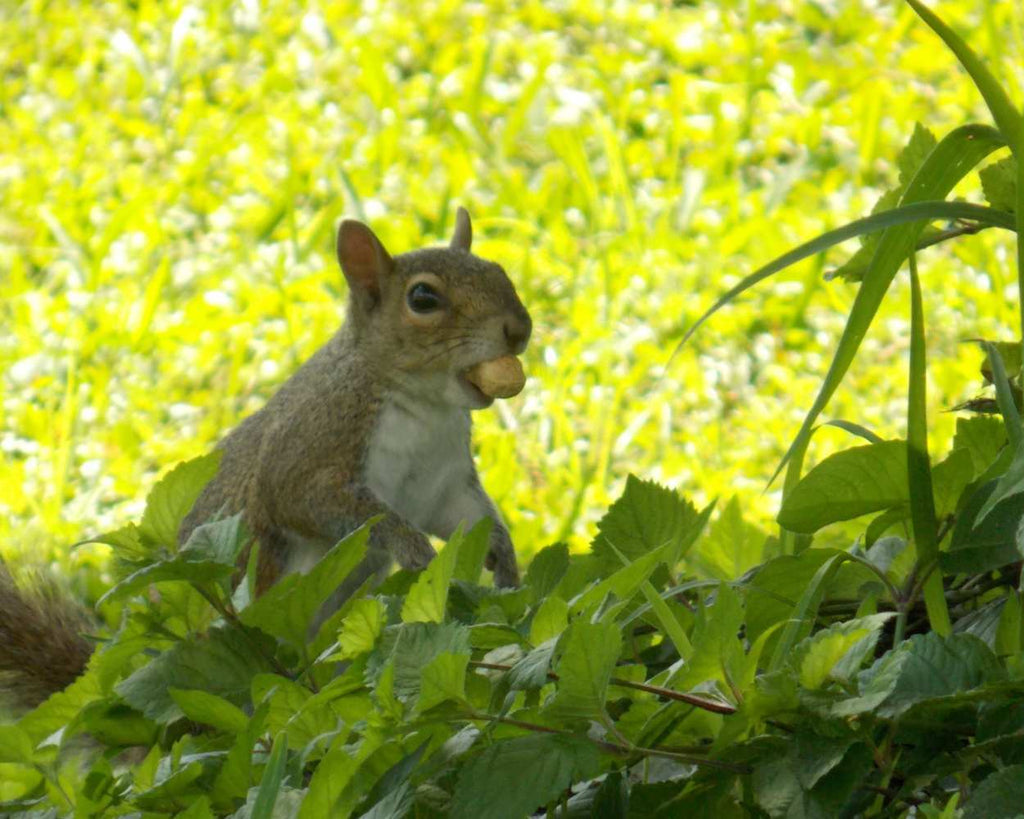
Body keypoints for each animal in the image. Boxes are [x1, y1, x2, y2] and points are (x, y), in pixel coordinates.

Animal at [0, 208, 531, 710]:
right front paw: (415, 550)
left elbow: (471, 518)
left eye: (499, 271)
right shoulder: (309, 452)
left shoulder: (444, 483)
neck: (425, 407)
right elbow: (332, 506)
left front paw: (504, 562)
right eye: (422, 299)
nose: (519, 329)